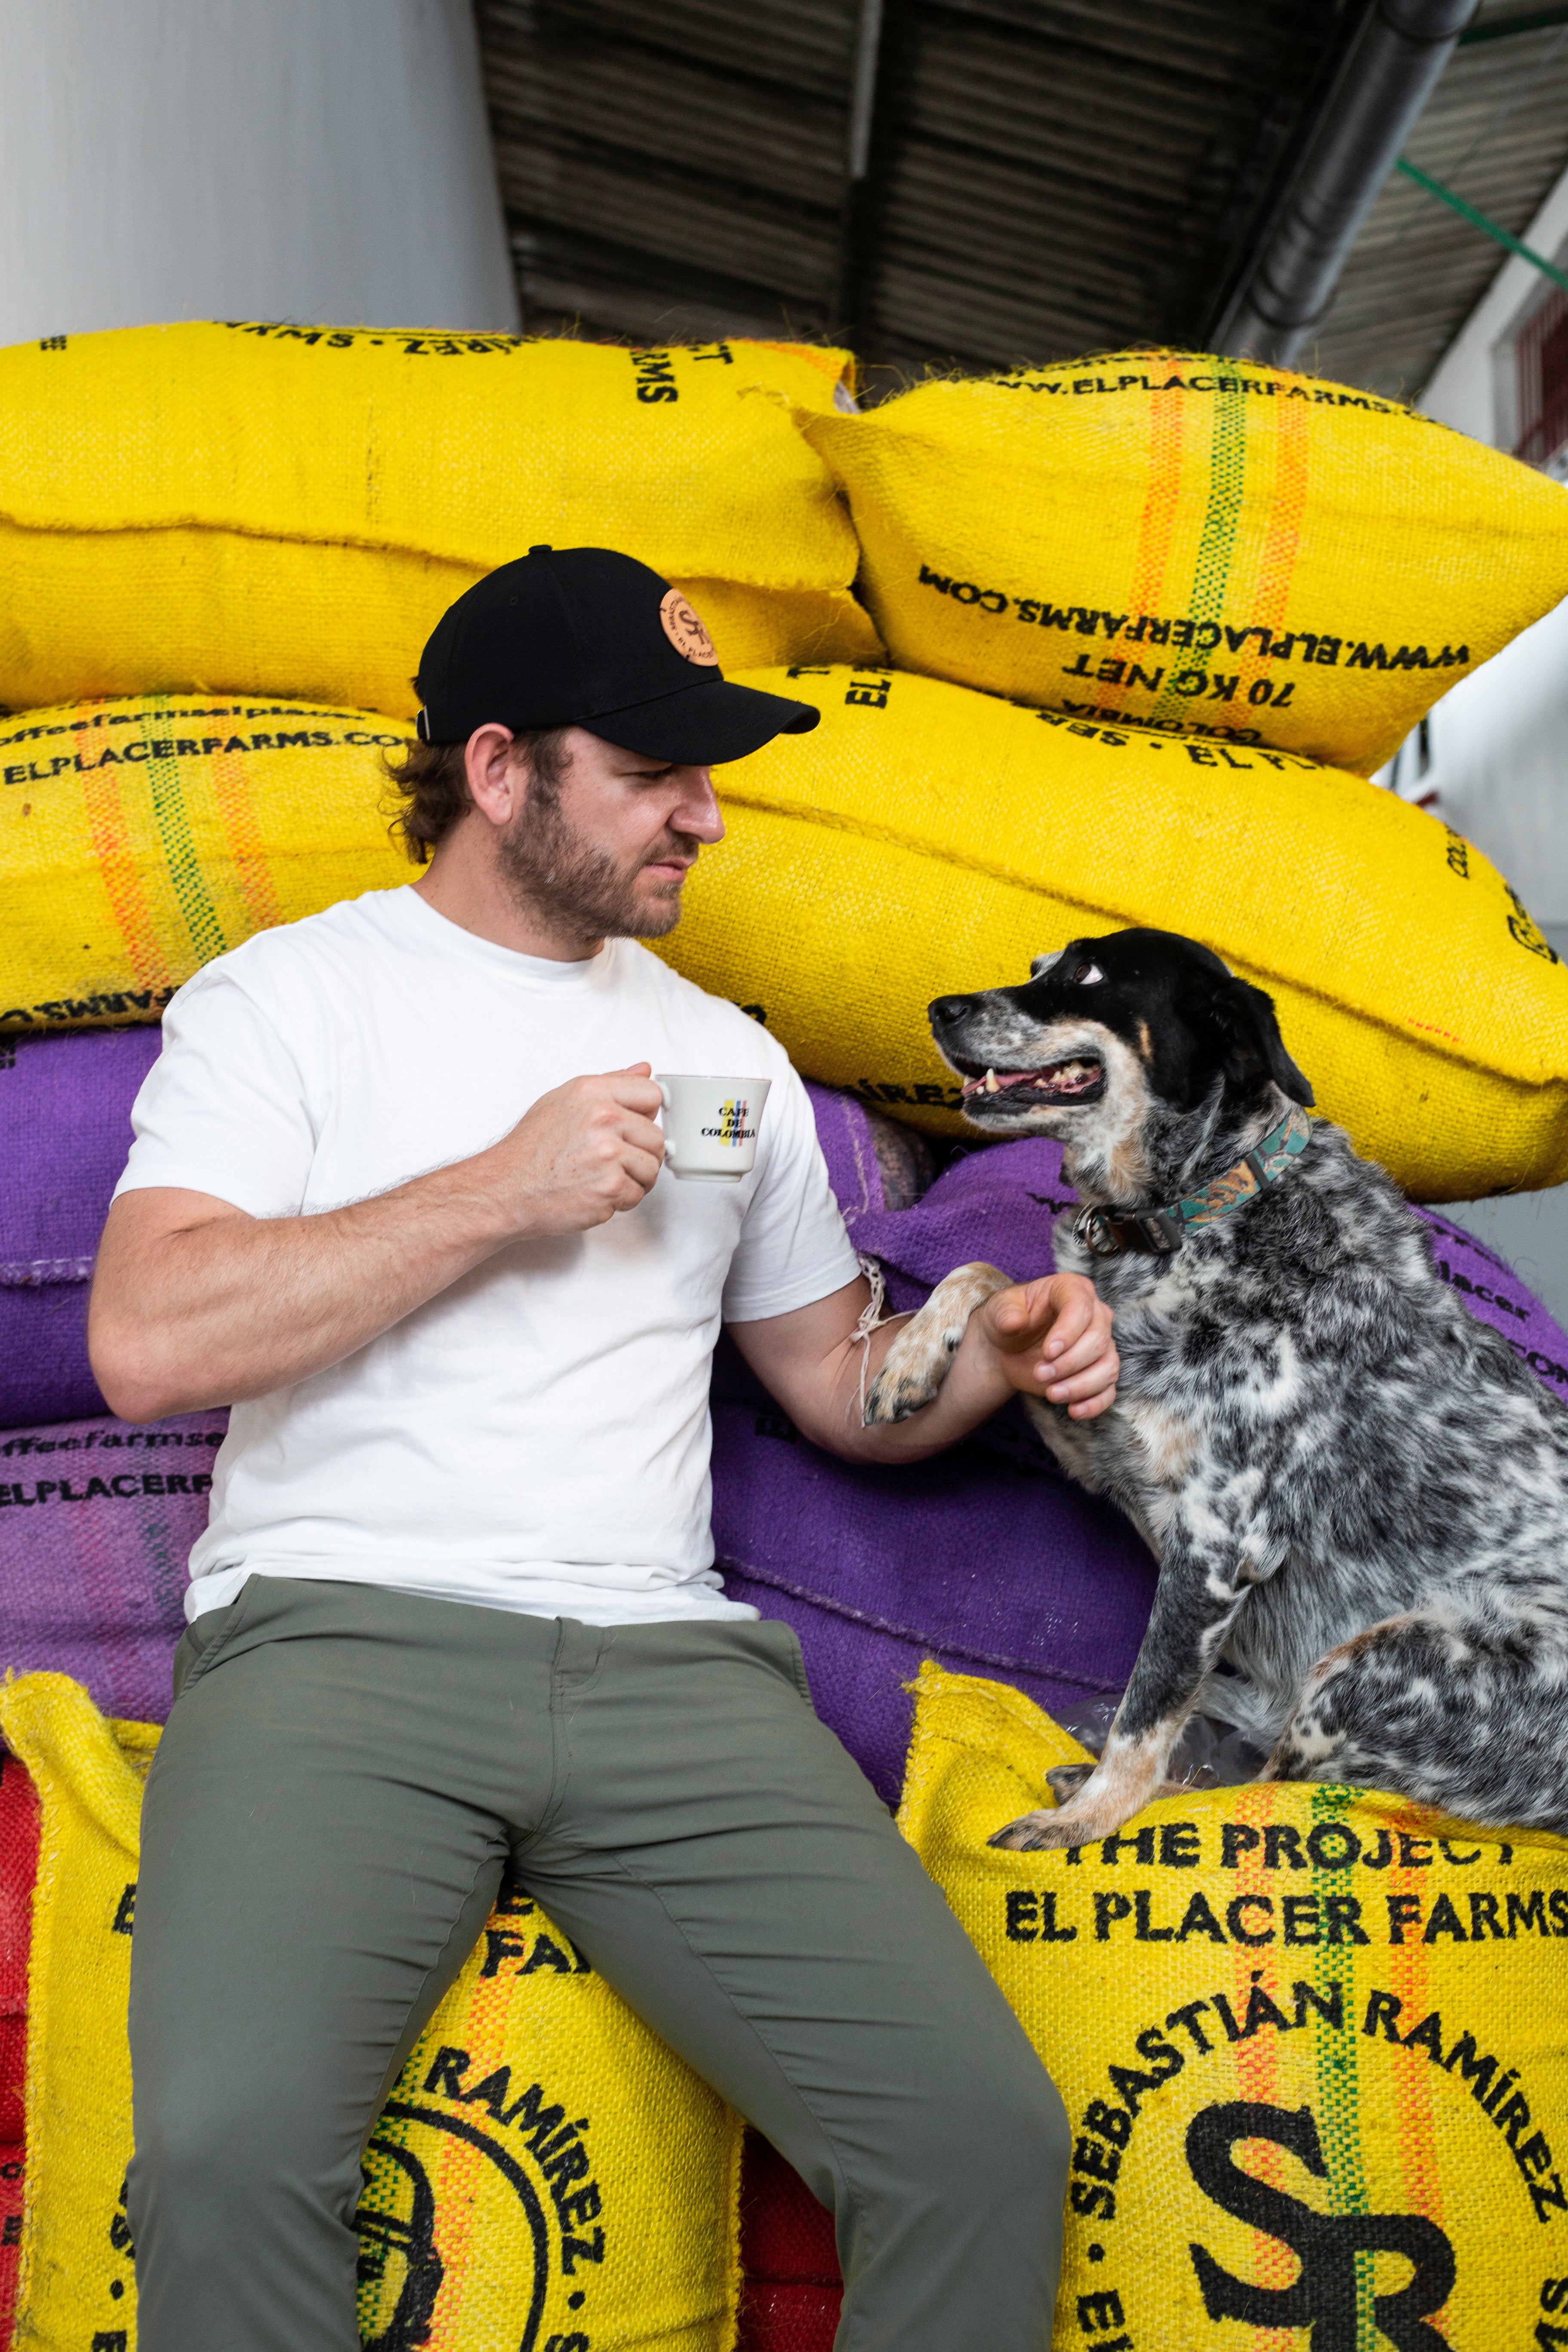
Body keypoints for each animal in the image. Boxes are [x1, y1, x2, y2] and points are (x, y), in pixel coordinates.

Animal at [865, 926, 1568, 1844]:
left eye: (1087, 972)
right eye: (1034, 969)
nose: (939, 1008)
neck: (1198, 1212)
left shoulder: (1215, 1541)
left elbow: (1149, 1713)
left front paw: (1085, 1820)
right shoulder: (1100, 1431)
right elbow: (987, 1276)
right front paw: (911, 1357)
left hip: (1385, 1662)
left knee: (1272, 1786)